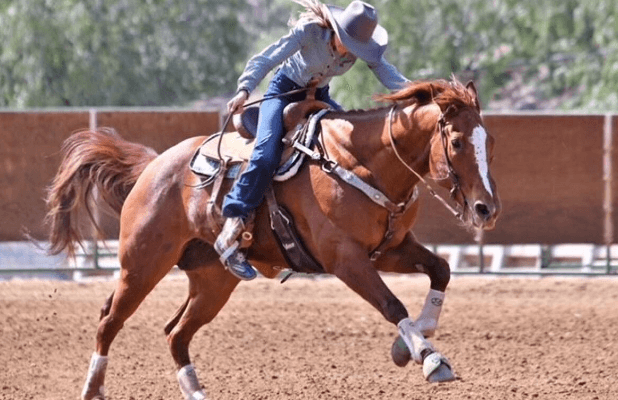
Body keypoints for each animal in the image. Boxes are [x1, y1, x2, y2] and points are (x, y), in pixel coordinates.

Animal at [47, 76, 500, 398]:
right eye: (457, 141)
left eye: (488, 141)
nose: (487, 209)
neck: (362, 163)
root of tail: (153, 166)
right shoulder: (345, 258)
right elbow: (391, 304)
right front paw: (429, 358)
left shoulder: (389, 250)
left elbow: (440, 269)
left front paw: (411, 343)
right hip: (142, 264)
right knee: (109, 321)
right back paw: (92, 389)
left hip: (213, 281)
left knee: (176, 333)